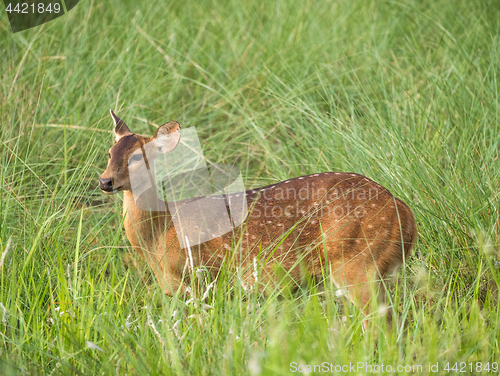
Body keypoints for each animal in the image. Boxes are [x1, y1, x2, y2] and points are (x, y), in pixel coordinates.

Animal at [98, 110, 418, 328]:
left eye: (137, 158)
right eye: (110, 152)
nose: (105, 181)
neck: (160, 235)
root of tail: (405, 214)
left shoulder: (202, 278)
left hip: (357, 261)